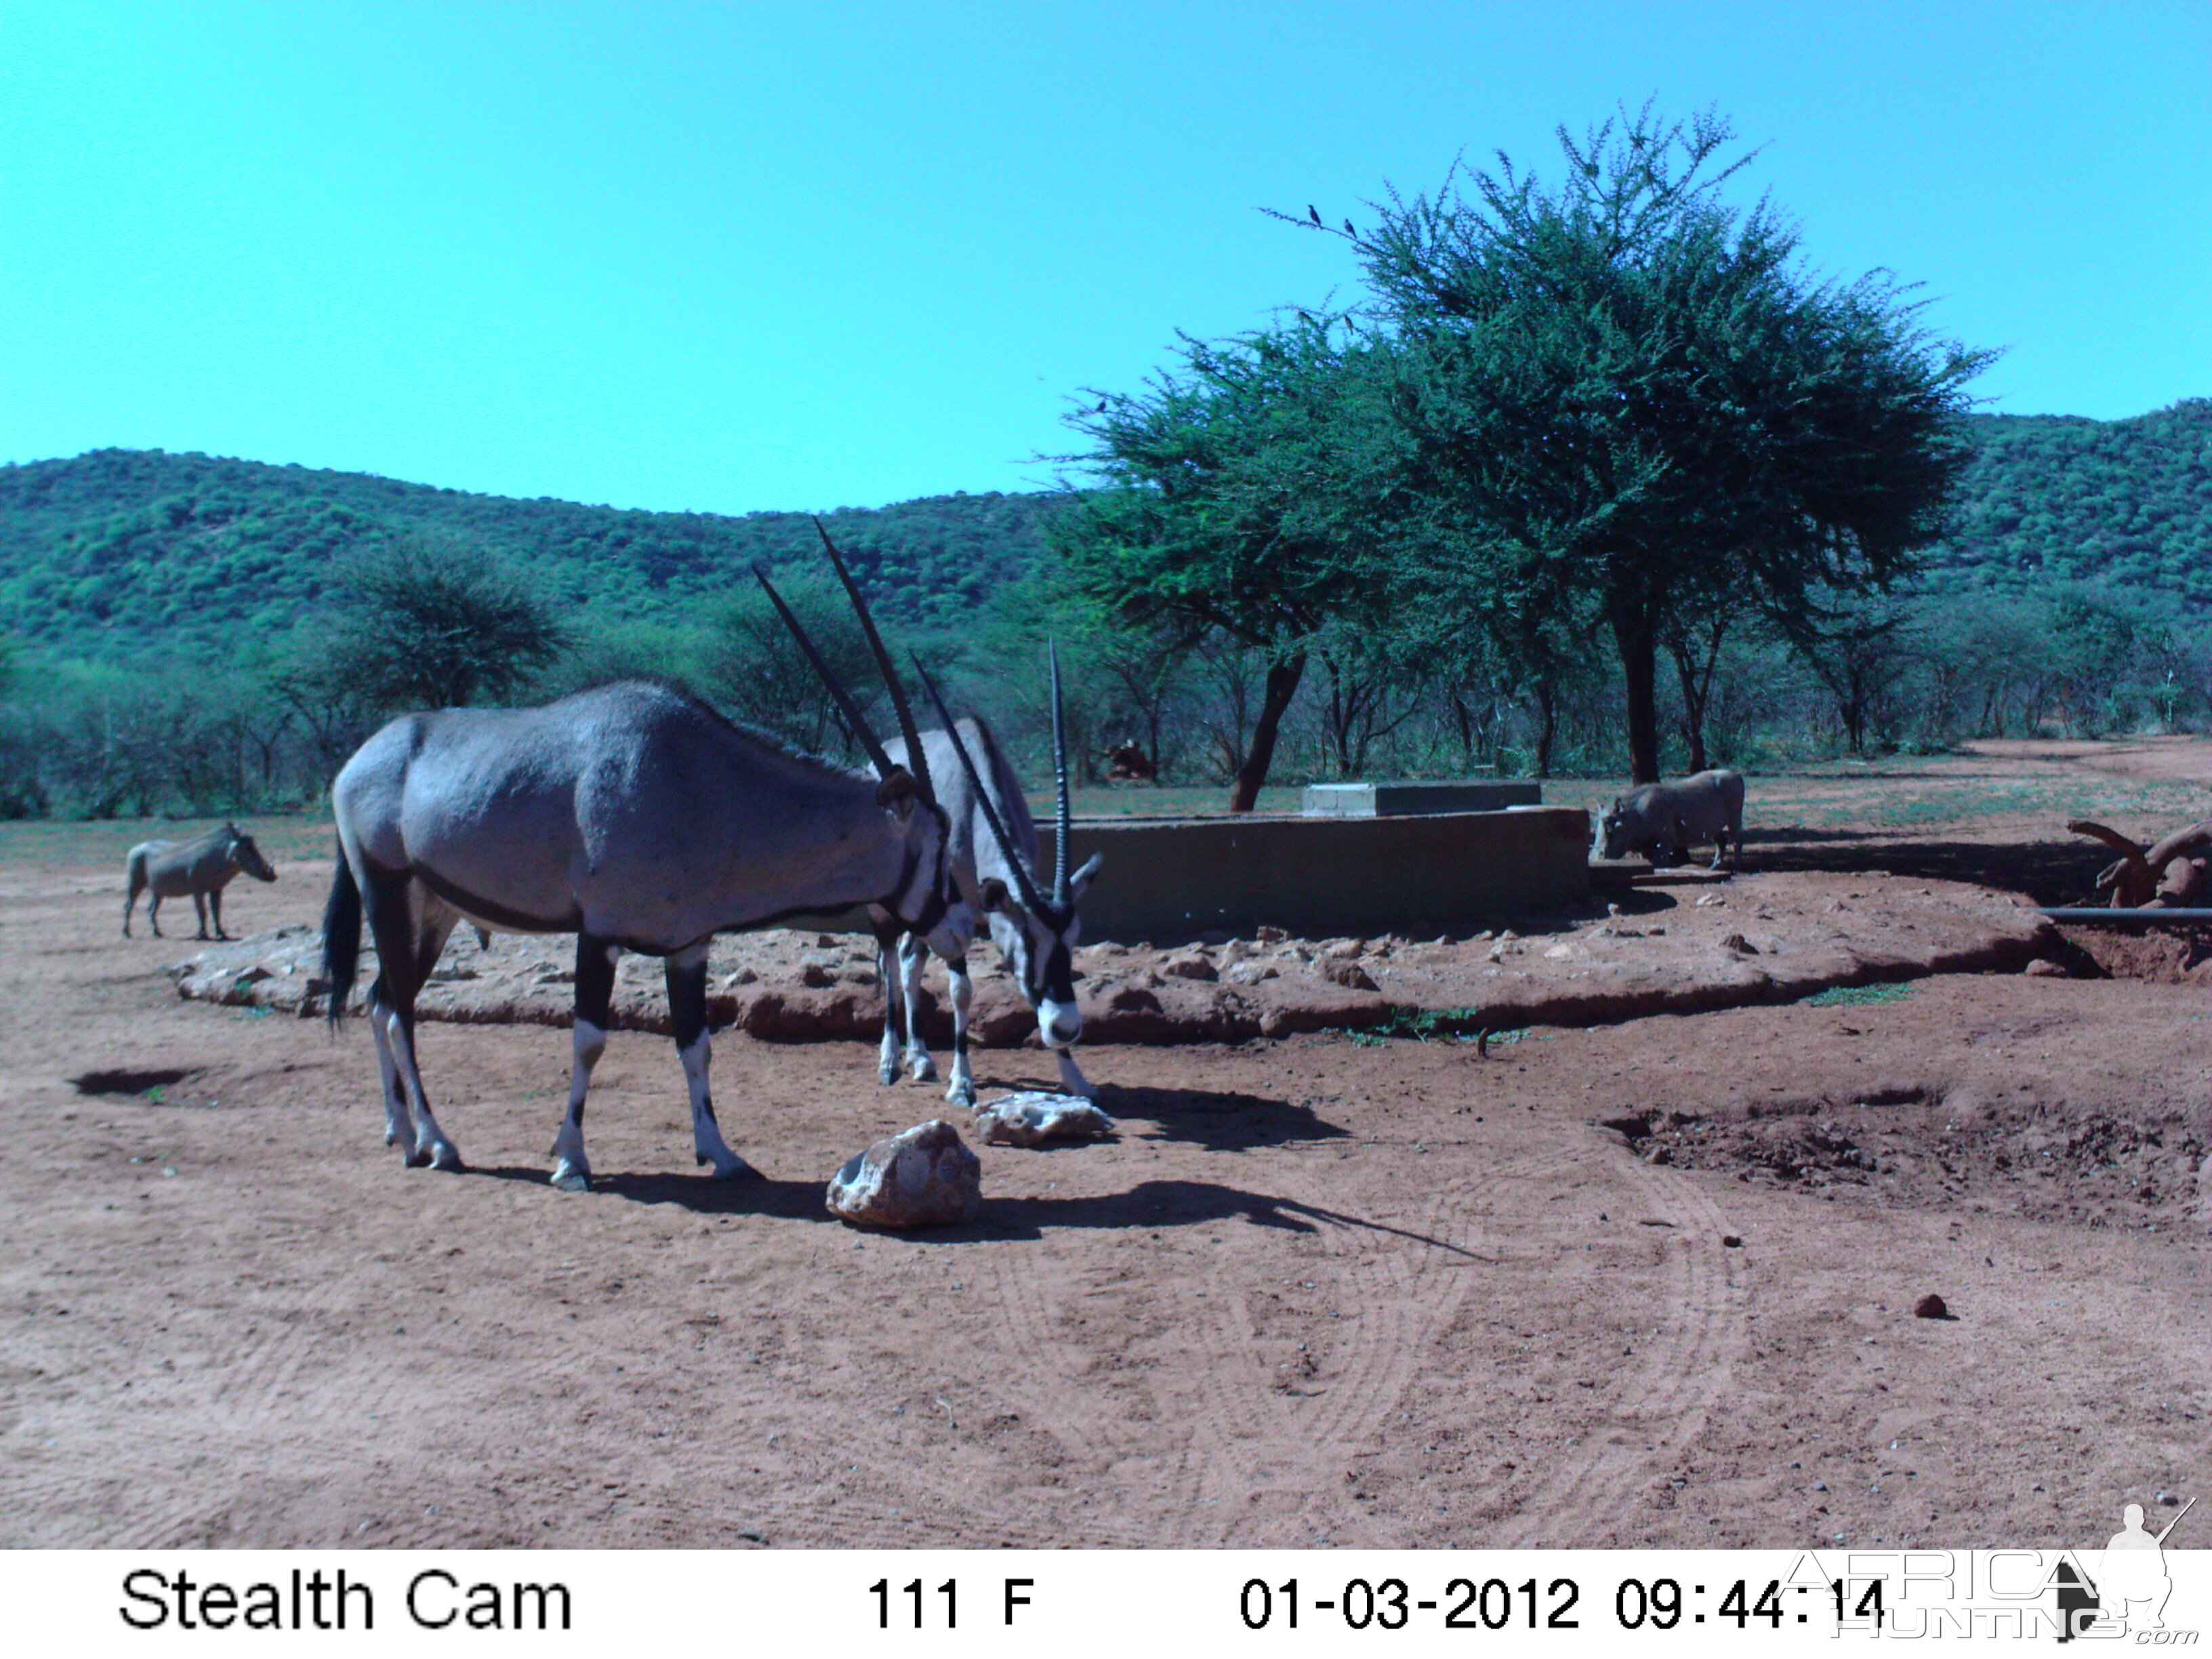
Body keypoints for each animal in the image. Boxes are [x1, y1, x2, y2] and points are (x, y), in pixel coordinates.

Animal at [319, 526, 960, 1185]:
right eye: (940, 843)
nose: (957, 931)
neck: (706, 785)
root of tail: (358, 760)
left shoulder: (688, 946)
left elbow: (696, 1045)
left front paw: (722, 1153)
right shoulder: (599, 933)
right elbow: (589, 1041)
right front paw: (571, 1159)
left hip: (434, 915)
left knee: (381, 1000)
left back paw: (403, 1134)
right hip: (387, 893)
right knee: (401, 1012)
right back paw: (438, 1143)